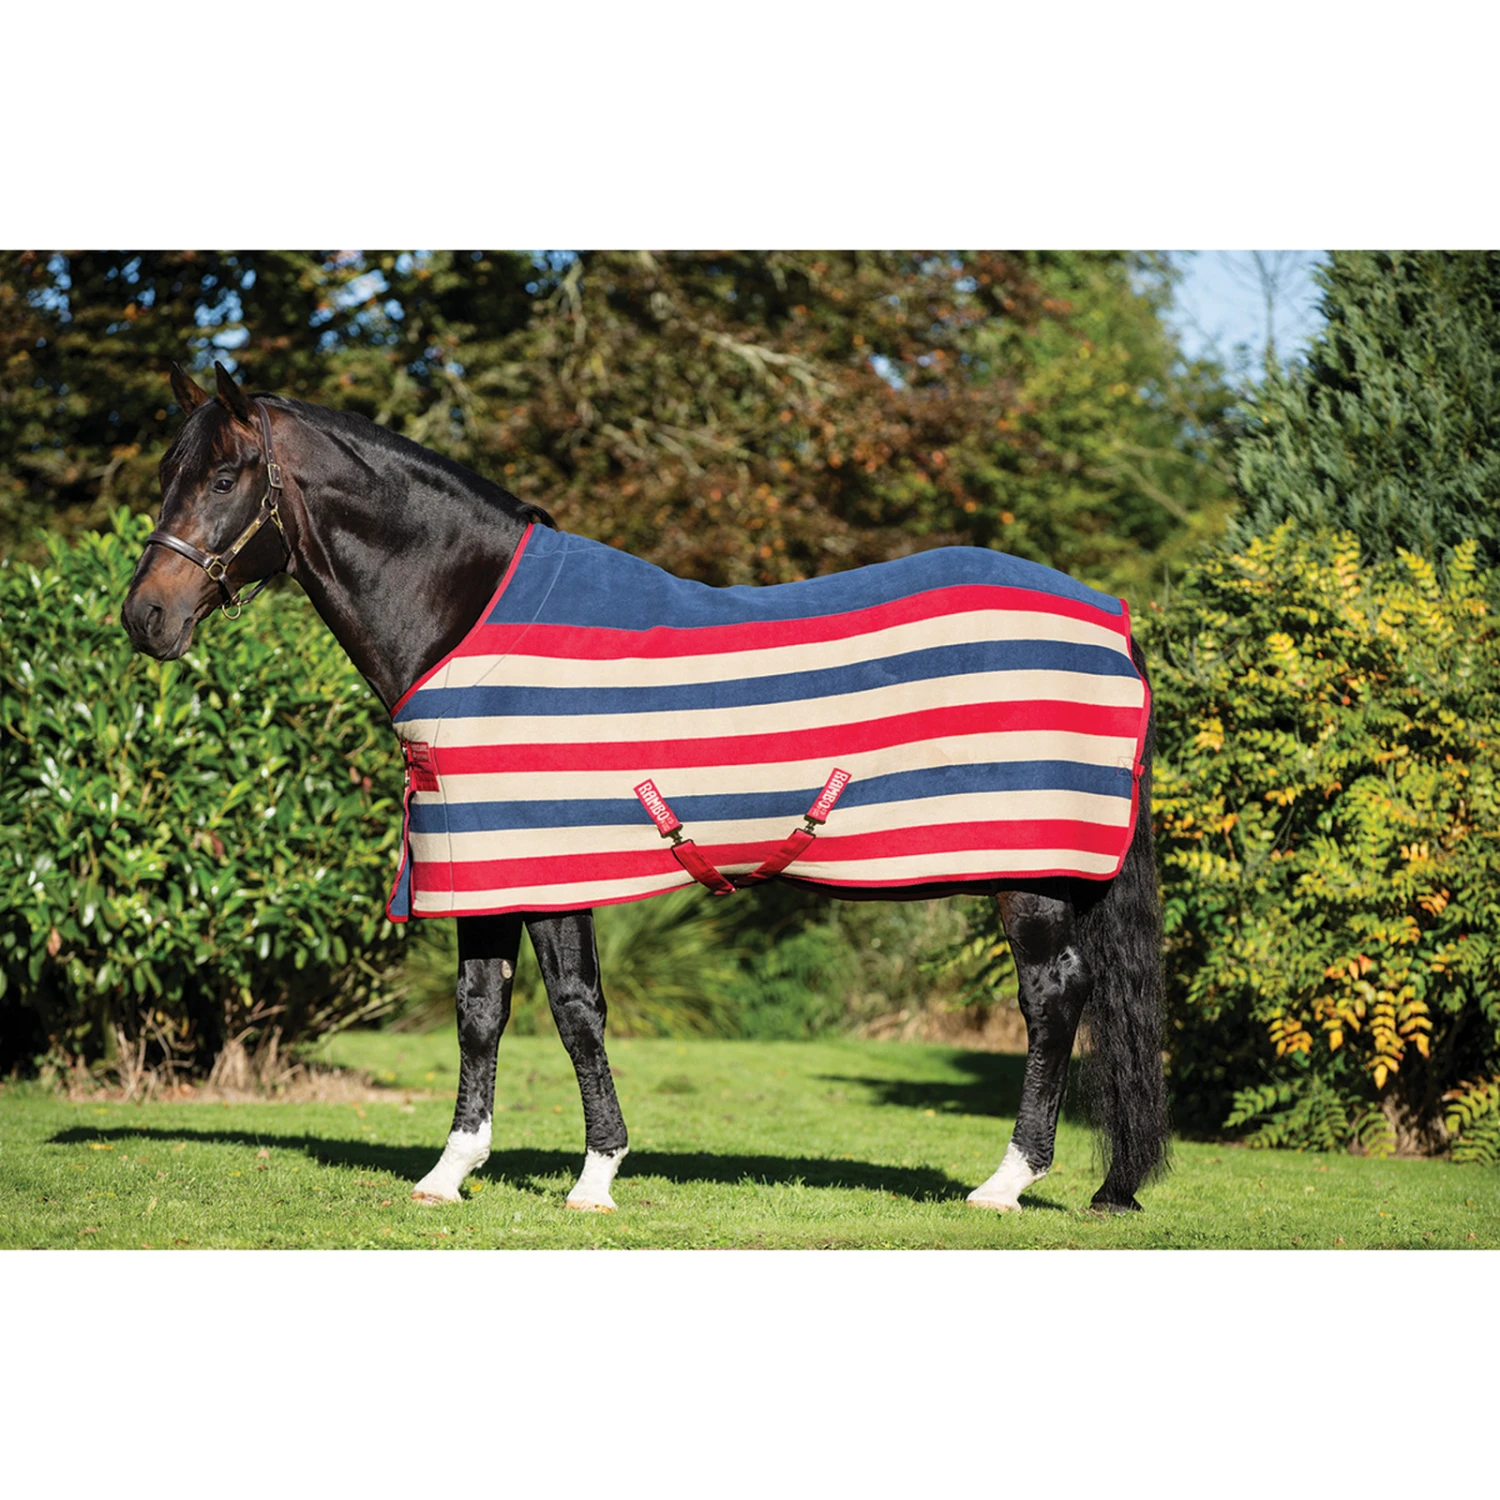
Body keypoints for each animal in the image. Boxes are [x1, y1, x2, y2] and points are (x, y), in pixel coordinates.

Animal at [122, 361, 1170, 1215]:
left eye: (224, 479)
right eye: (166, 473)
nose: (145, 618)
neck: (469, 619)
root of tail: (1111, 619)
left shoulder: (552, 864)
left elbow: (575, 1010)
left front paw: (596, 1177)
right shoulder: (482, 862)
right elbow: (479, 1009)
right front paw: (451, 1171)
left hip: (1029, 872)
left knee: (1053, 998)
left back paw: (1005, 1182)